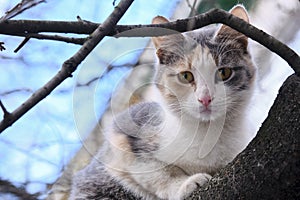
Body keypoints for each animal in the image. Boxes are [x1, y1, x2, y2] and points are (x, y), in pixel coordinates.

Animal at [69, 4, 255, 200]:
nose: (205, 98)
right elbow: (157, 172)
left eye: (224, 73)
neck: (207, 133)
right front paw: (186, 184)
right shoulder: (124, 132)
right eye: (186, 76)